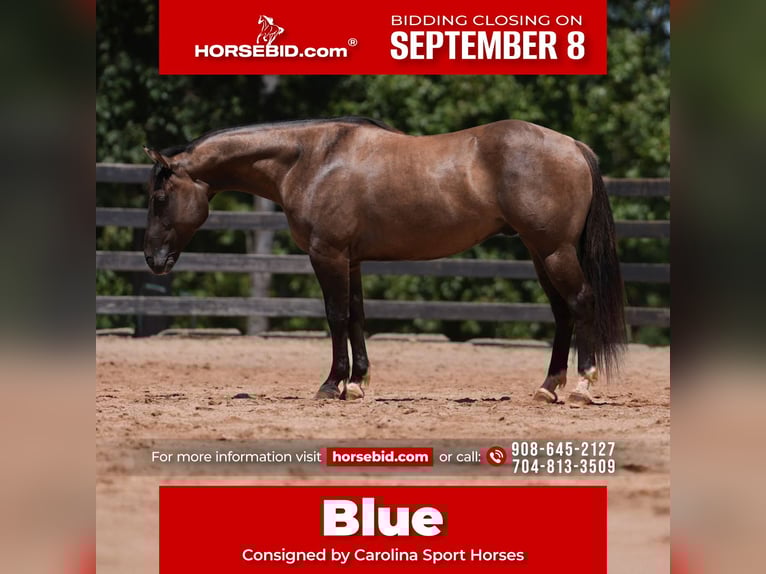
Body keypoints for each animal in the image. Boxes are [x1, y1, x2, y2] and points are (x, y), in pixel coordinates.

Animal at [143, 117, 626, 404]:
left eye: (159, 197)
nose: (152, 259)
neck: (310, 160)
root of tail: (573, 146)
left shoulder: (327, 255)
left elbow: (336, 316)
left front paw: (331, 384)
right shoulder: (351, 260)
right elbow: (357, 316)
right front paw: (357, 382)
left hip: (554, 250)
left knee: (581, 303)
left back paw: (583, 385)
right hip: (540, 253)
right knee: (562, 314)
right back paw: (548, 387)